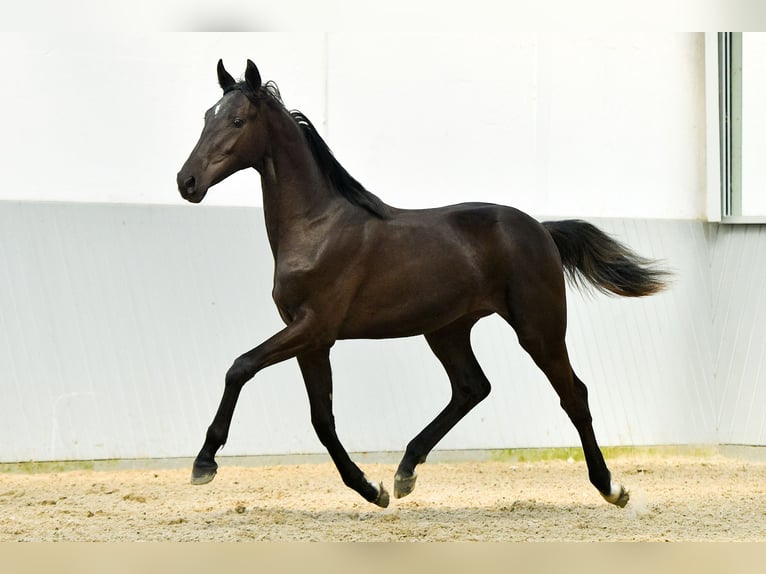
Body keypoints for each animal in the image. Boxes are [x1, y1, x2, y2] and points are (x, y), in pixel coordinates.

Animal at [178, 59, 664, 508]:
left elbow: (240, 367)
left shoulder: (314, 327)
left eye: (237, 121)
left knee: (572, 394)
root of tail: (542, 229)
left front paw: (204, 463)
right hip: (447, 329)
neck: (316, 226)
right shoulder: (312, 339)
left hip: (538, 328)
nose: (187, 182)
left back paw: (611, 487)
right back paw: (405, 471)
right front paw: (371, 490)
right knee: (471, 387)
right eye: (205, 116)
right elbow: (322, 420)